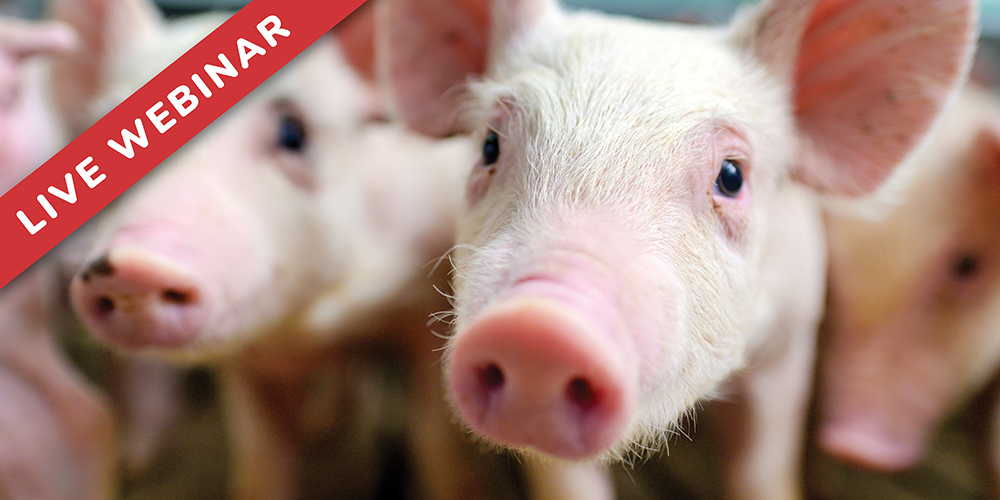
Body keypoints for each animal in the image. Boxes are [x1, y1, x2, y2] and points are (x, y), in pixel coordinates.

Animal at [60, 0, 522, 498]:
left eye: (293, 134)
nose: (130, 266)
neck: (310, 326)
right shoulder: (246, 367)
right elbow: (260, 461)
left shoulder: (421, 310)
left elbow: (437, 445)